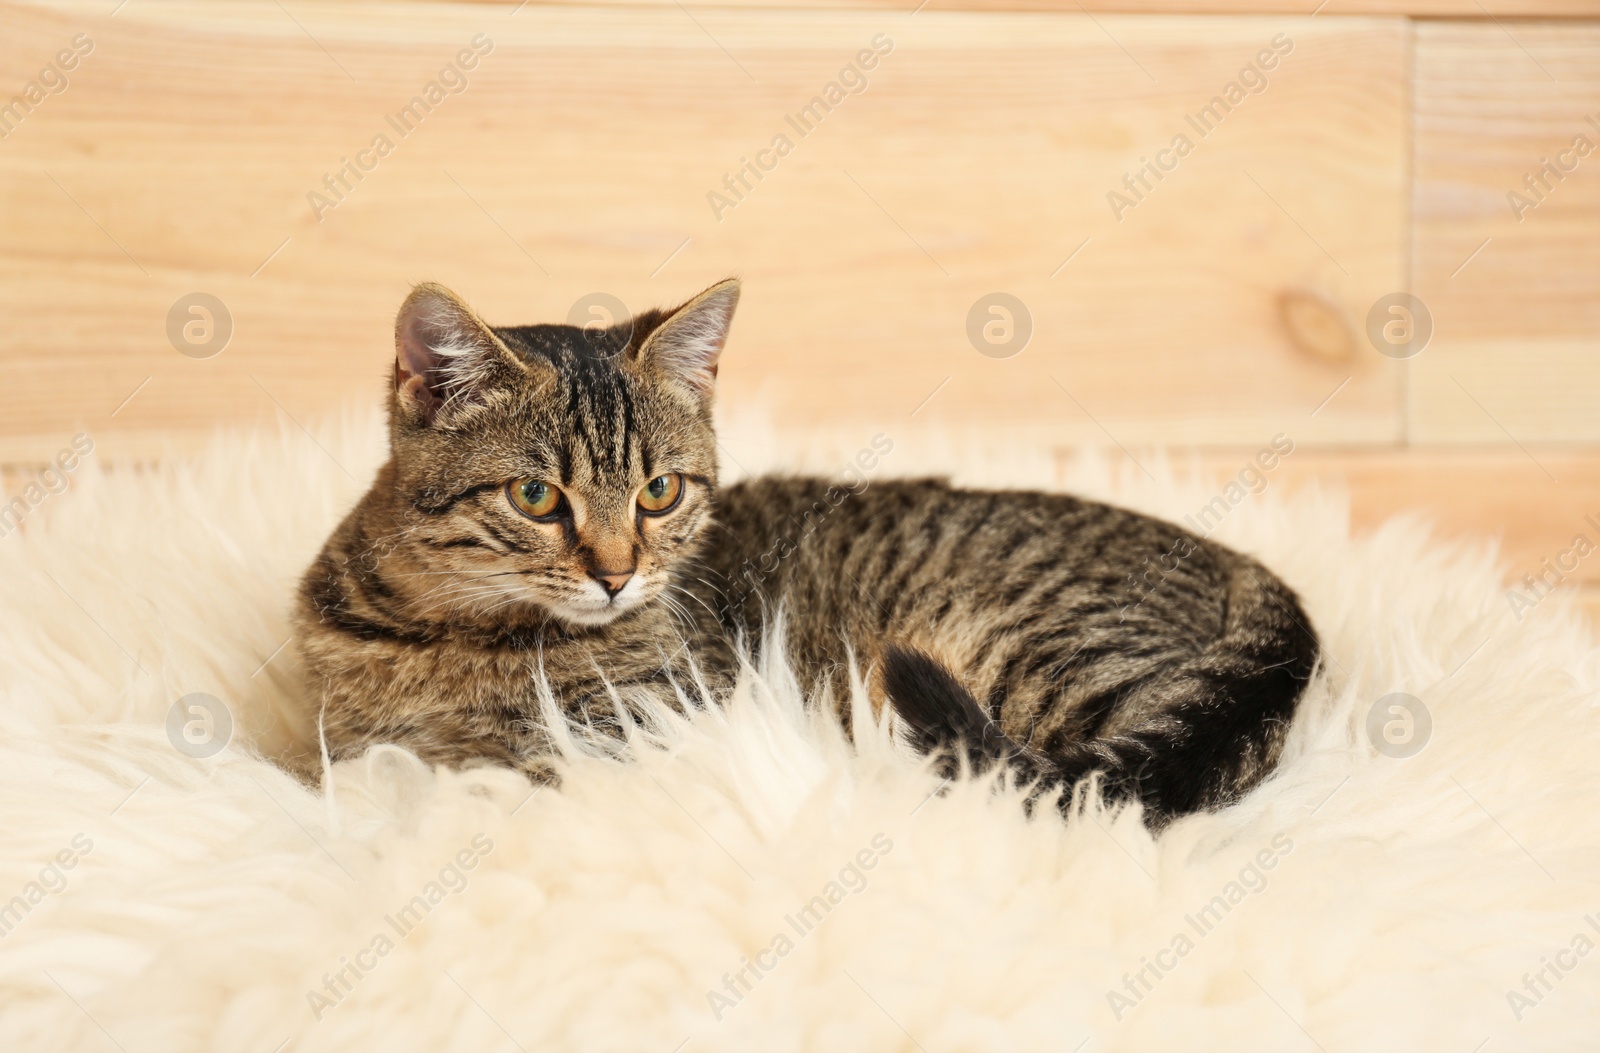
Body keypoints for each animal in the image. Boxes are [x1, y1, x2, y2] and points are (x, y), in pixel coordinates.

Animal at [294, 278, 1318, 819]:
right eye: (536, 496)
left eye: (659, 491)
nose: (618, 575)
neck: (451, 631)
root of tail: (1237, 559)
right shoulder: (337, 744)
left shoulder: (638, 728)